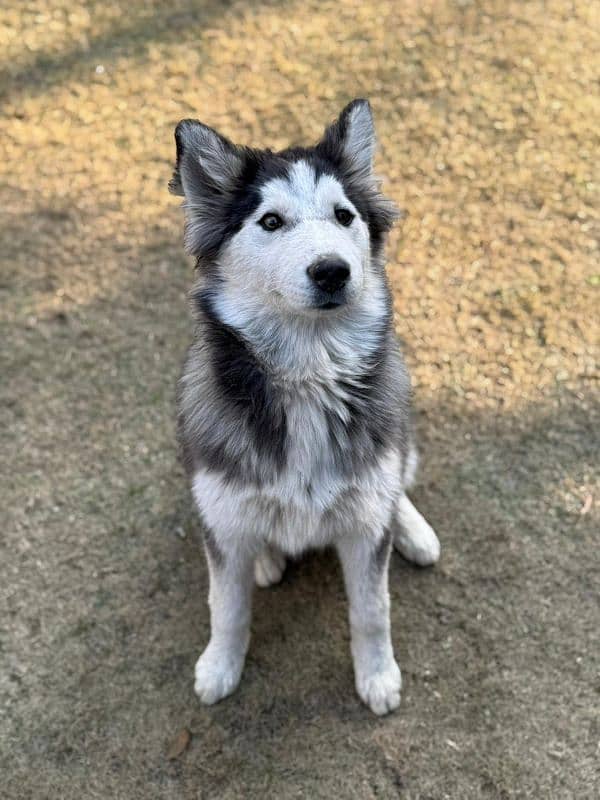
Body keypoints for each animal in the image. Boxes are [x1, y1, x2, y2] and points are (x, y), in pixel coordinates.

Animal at [169, 100, 440, 720]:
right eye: (270, 222)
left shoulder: (365, 524)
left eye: (344, 216)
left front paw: (378, 677)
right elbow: (226, 607)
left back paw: (414, 530)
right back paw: (267, 559)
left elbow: (372, 610)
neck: (309, 374)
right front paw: (220, 668)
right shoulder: (221, 517)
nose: (332, 270)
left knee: (399, 481)